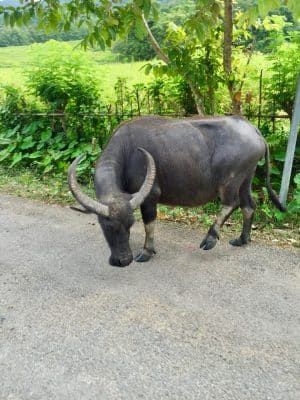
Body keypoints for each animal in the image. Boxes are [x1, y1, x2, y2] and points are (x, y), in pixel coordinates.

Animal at [68, 115, 286, 266]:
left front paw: (146, 252)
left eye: (129, 224)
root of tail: (253, 129)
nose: (124, 260)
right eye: (107, 226)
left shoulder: (150, 196)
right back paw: (242, 239)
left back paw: (209, 239)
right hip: (246, 179)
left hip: (231, 181)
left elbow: (149, 224)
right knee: (248, 205)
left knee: (231, 203)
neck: (127, 152)